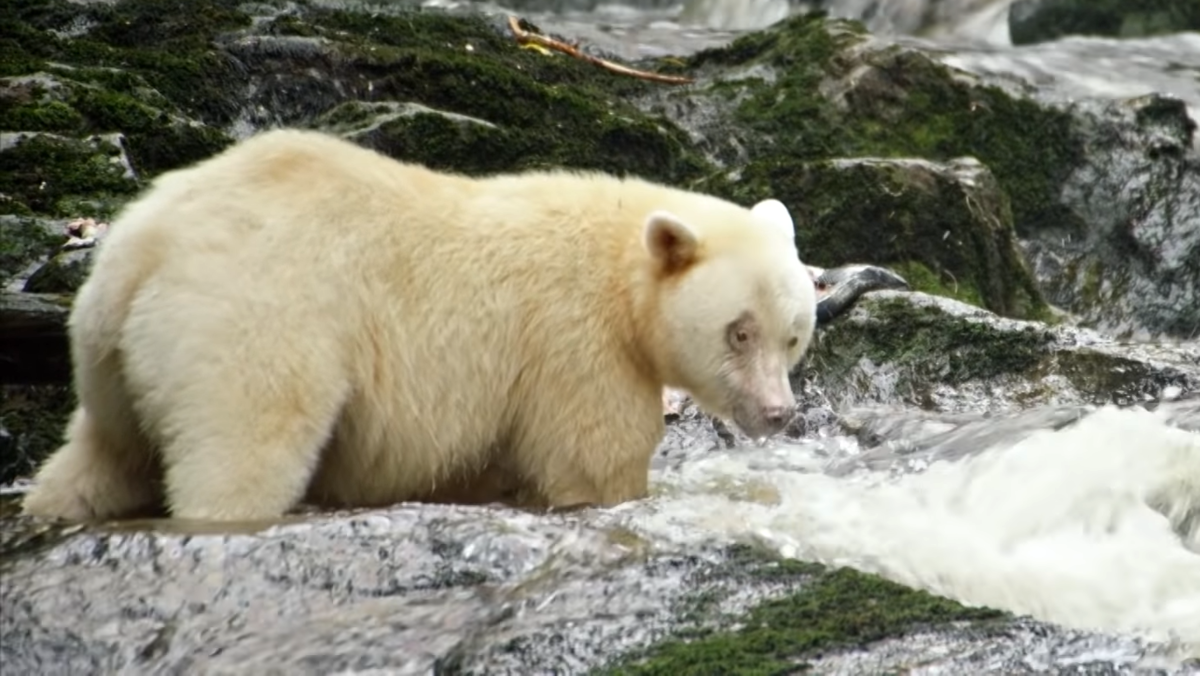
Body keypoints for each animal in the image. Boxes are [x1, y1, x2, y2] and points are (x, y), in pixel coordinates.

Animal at [21, 130, 816, 523]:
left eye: (794, 335)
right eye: (738, 330)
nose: (780, 413)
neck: (624, 273)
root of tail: (144, 247)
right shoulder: (574, 343)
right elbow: (591, 458)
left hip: (114, 361)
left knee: (100, 457)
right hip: (255, 325)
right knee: (245, 445)